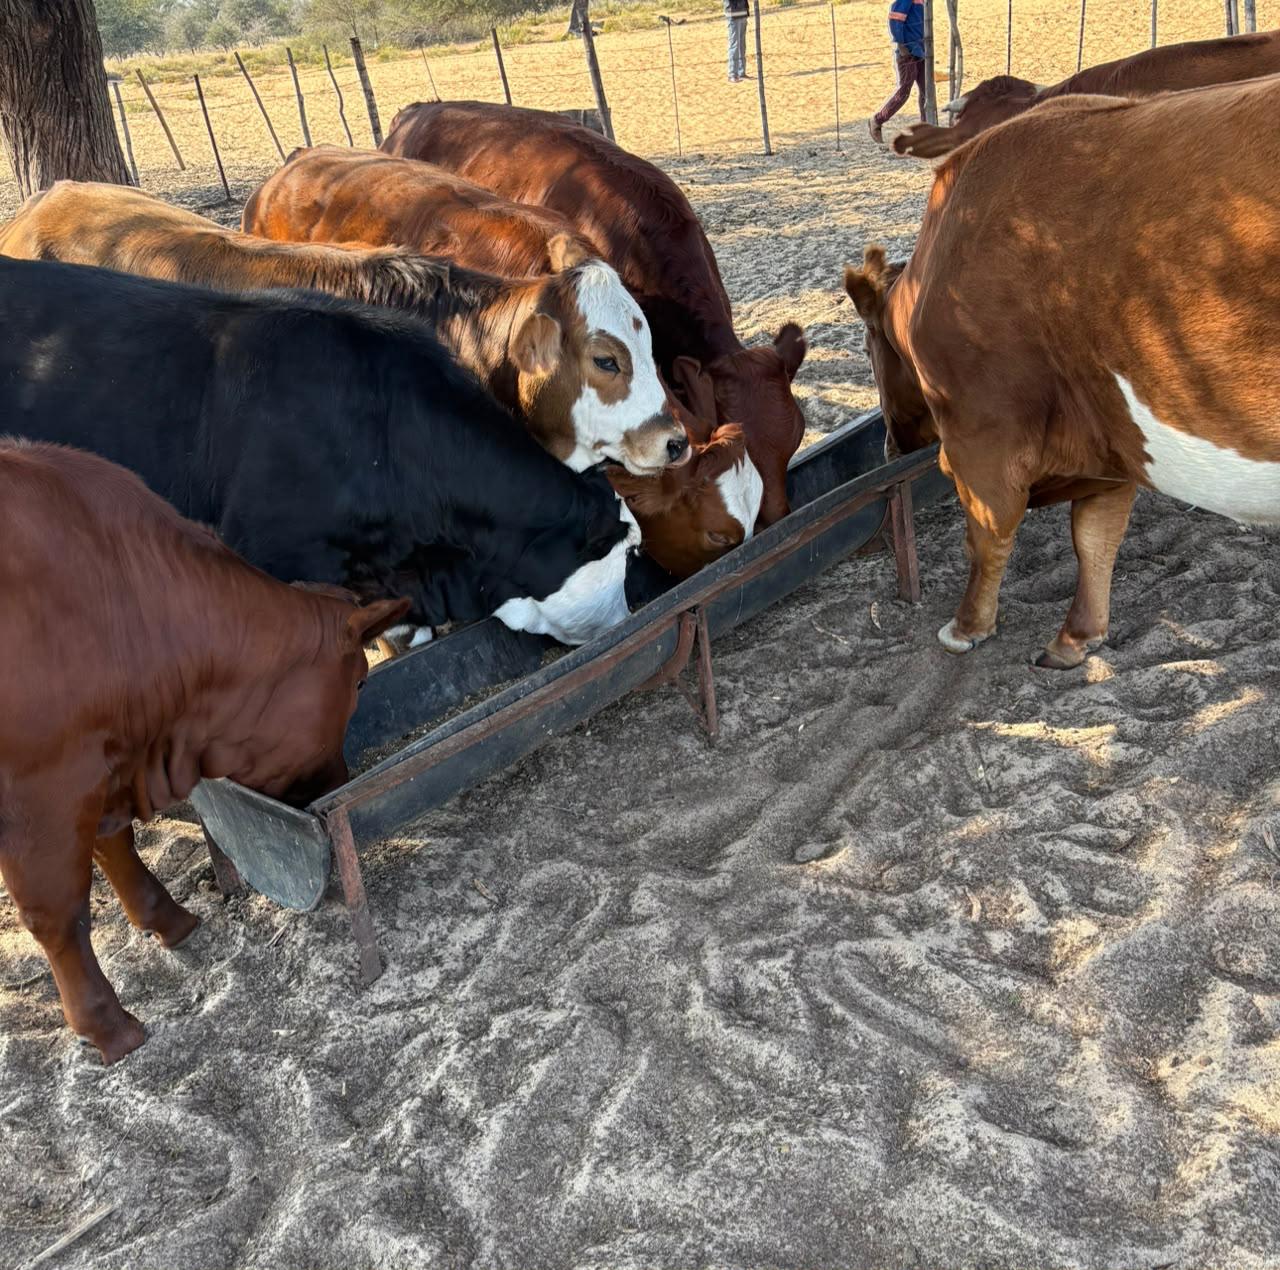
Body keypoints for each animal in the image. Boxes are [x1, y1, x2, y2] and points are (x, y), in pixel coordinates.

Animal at [0, 440, 409, 1063]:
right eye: (361, 681)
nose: (337, 780)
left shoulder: (100, 765)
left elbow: (113, 843)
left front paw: (168, 918)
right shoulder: (43, 786)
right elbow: (57, 912)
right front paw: (108, 1026)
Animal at [844, 79, 1280, 668]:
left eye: (869, 353)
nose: (890, 444)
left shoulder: (983, 433)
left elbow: (987, 534)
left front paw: (966, 627)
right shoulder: (1113, 445)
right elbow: (1096, 536)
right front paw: (1077, 636)